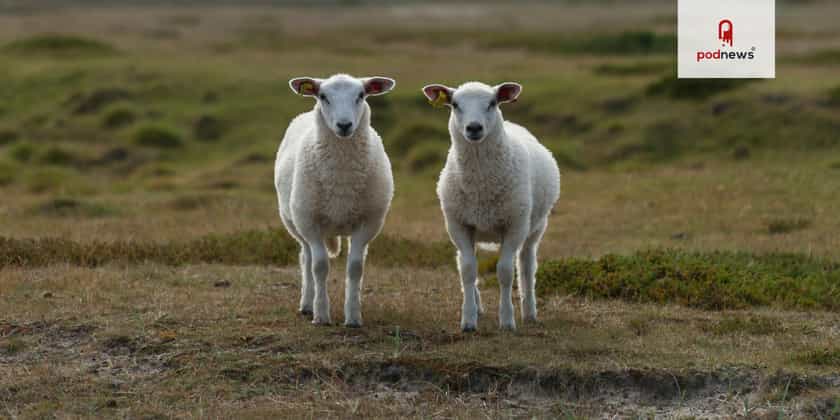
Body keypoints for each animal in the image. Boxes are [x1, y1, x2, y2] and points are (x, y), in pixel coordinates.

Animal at [275, 74, 396, 327]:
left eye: (361, 95)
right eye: (323, 96)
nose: (344, 125)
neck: (342, 177)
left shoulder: (368, 223)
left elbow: (355, 268)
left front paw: (353, 316)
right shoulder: (310, 222)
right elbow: (319, 267)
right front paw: (321, 314)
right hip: (297, 223)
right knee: (306, 258)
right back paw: (307, 304)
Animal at [422, 81, 561, 332]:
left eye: (492, 103)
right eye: (454, 104)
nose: (474, 127)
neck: (481, 184)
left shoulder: (515, 225)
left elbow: (505, 272)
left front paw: (507, 320)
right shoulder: (459, 224)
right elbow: (468, 270)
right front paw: (468, 319)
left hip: (535, 227)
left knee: (527, 264)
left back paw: (529, 311)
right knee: (463, 261)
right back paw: (478, 306)